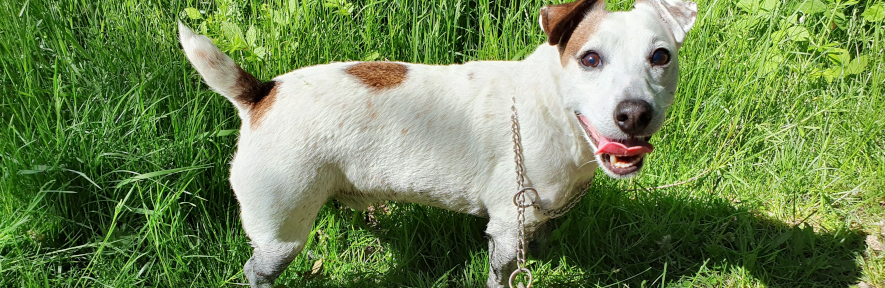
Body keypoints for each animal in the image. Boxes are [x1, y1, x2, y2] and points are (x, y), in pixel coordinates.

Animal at [176, 0, 696, 286]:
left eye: (661, 56)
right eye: (590, 59)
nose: (634, 113)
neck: (549, 106)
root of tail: (261, 93)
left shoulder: (533, 217)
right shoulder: (505, 231)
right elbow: (501, 275)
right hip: (281, 236)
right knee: (257, 271)